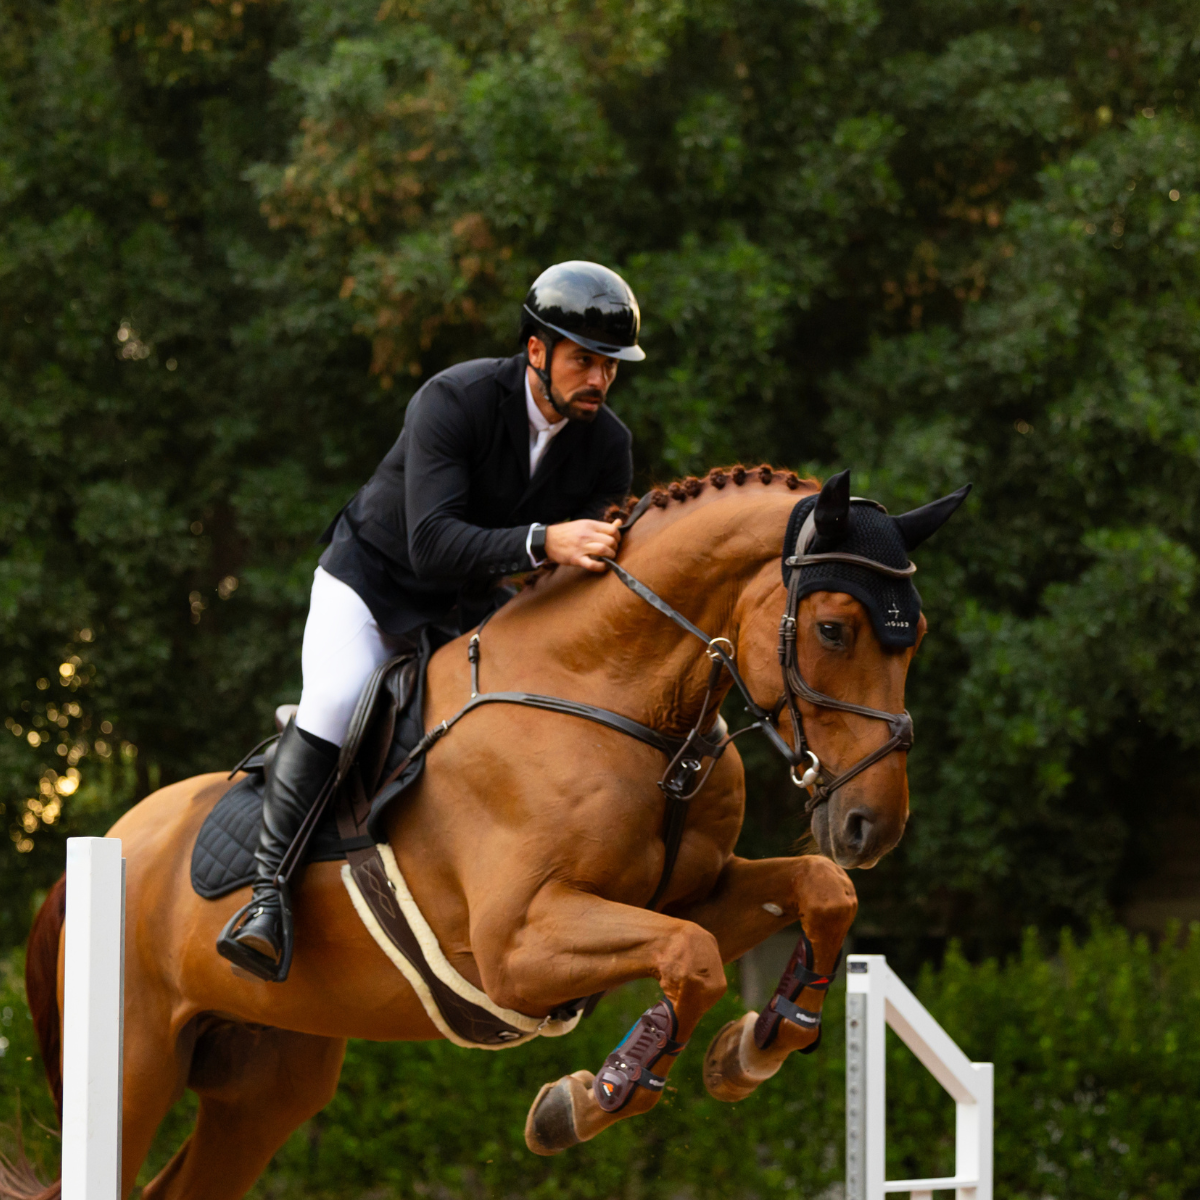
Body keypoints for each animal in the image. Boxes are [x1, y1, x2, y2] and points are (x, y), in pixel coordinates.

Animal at [14, 464, 966, 1199]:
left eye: (914, 633)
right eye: (834, 628)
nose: (870, 825)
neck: (625, 705)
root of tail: (105, 847)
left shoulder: (691, 893)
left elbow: (817, 894)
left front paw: (757, 1046)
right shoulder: (519, 945)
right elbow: (692, 959)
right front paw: (589, 1098)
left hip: (266, 1084)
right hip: (135, 1065)